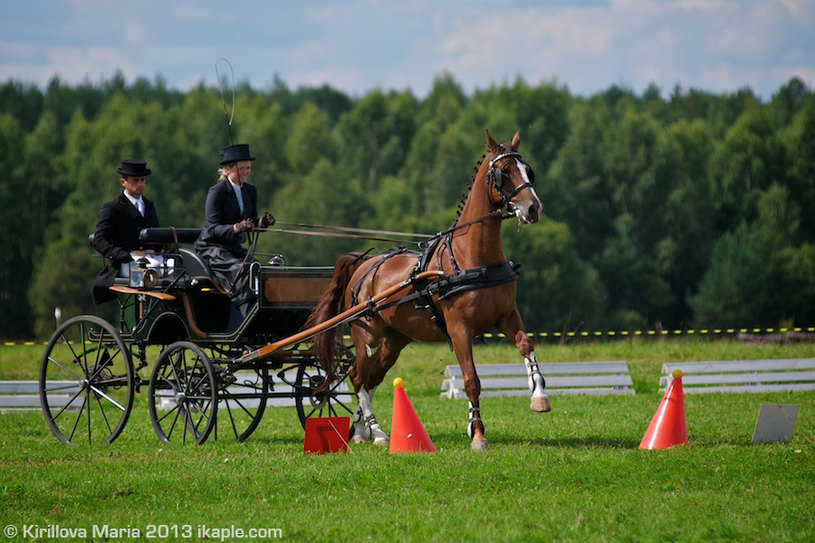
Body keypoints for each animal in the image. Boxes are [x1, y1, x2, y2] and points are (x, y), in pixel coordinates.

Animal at [306, 131, 548, 450]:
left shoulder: (507, 315)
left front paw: (539, 395)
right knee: (358, 378)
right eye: (503, 172)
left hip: (394, 341)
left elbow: (526, 345)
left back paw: (360, 431)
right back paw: (378, 432)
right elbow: (471, 380)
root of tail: (363, 264)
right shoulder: (459, 329)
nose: (533, 208)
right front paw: (478, 433)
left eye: (527, 170)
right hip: (367, 336)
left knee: (371, 379)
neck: (472, 259)